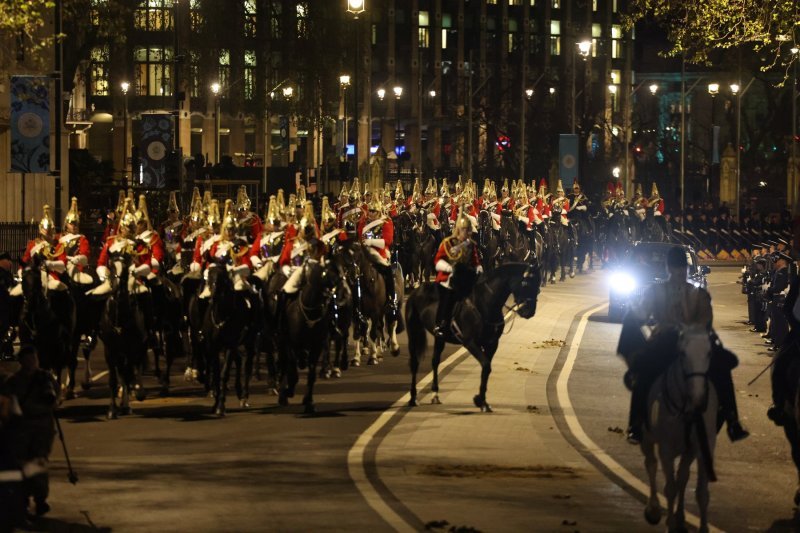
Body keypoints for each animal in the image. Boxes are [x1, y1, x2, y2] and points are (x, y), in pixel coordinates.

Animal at [404, 260, 540, 412]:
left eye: (538, 285)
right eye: (526, 283)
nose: (529, 312)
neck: (485, 303)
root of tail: (417, 290)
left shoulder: (492, 344)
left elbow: (487, 369)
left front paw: (482, 401)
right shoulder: (470, 343)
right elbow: (486, 365)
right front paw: (480, 400)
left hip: (439, 337)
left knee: (435, 361)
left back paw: (435, 394)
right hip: (413, 331)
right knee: (414, 362)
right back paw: (413, 398)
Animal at [636, 324, 720, 532]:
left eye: (709, 353)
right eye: (682, 353)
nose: (698, 398)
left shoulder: (702, 450)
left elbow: (701, 492)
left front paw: (699, 526)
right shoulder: (666, 449)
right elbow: (670, 487)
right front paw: (670, 523)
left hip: (688, 451)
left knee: (682, 476)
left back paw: (680, 518)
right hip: (647, 438)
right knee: (651, 464)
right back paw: (654, 509)